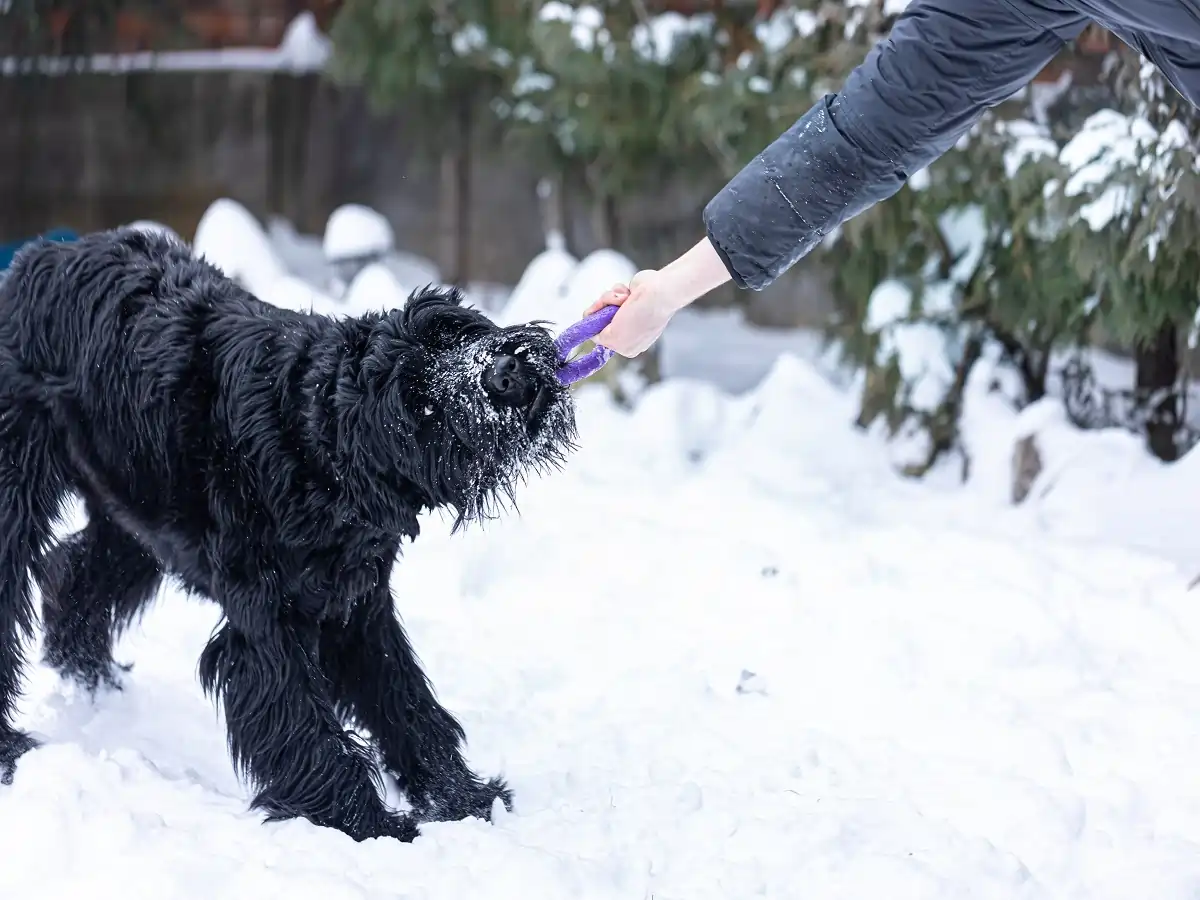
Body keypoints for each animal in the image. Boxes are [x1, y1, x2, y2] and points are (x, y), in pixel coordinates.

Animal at [0, 226, 576, 844]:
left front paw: (463, 799)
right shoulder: (269, 622)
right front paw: (369, 825)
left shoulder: (357, 607)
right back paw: (14, 748)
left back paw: (89, 676)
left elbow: (405, 703)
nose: (505, 373)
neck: (315, 440)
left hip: (135, 517)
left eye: (451, 331)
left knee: (74, 572)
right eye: (415, 395)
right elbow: (308, 727)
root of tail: (37, 256)